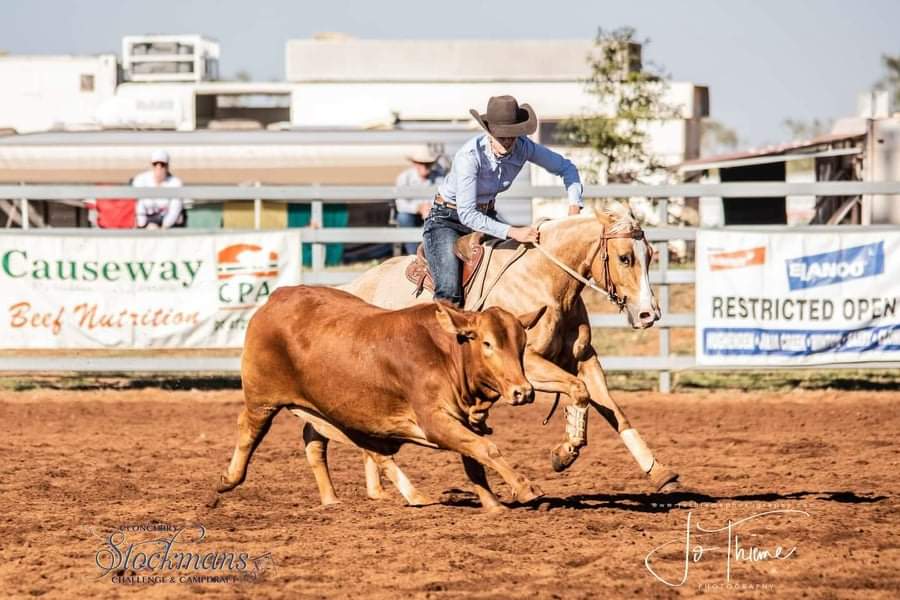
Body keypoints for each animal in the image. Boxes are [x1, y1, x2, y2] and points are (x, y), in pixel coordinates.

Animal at [215, 286, 548, 513]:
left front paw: (492, 503)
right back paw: (229, 479)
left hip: (323, 407)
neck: (447, 353)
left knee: (317, 442)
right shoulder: (435, 420)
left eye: (522, 344)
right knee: (249, 430)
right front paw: (525, 488)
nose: (523, 391)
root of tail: (276, 297)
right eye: (488, 343)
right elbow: (485, 449)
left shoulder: (463, 419)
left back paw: (337, 498)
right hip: (262, 397)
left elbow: (474, 458)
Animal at [334, 202, 681, 503]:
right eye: (624, 258)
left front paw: (659, 472)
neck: (545, 280)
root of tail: (352, 288)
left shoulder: (585, 359)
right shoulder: (526, 366)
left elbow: (614, 411)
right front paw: (565, 453)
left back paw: (379, 490)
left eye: (650, 254)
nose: (649, 314)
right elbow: (578, 391)